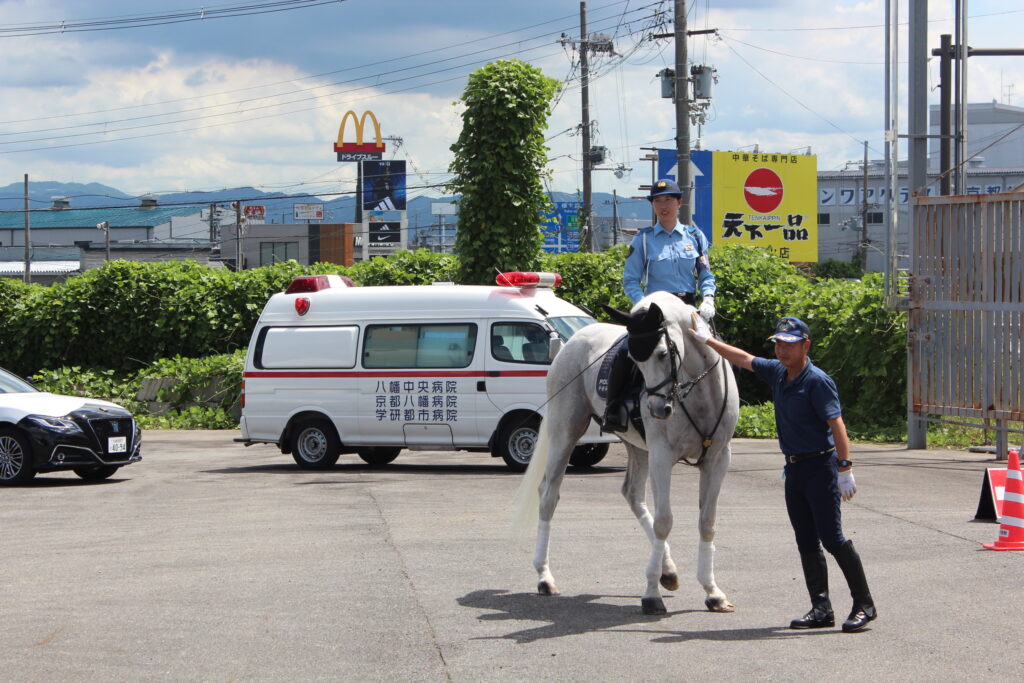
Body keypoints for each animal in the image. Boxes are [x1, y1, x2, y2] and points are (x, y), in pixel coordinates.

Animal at [516, 290, 741, 618]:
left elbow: (707, 522)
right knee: (548, 495)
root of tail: (572, 340)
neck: (698, 392)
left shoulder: (718, 459)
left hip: (637, 447)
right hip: (564, 432)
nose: (657, 409)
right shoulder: (662, 456)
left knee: (632, 494)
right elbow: (664, 521)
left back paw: (668, 571)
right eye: (634, 360)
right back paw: (545, 577)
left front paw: (712, 592)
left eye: (662, 353)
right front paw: (651, 596)